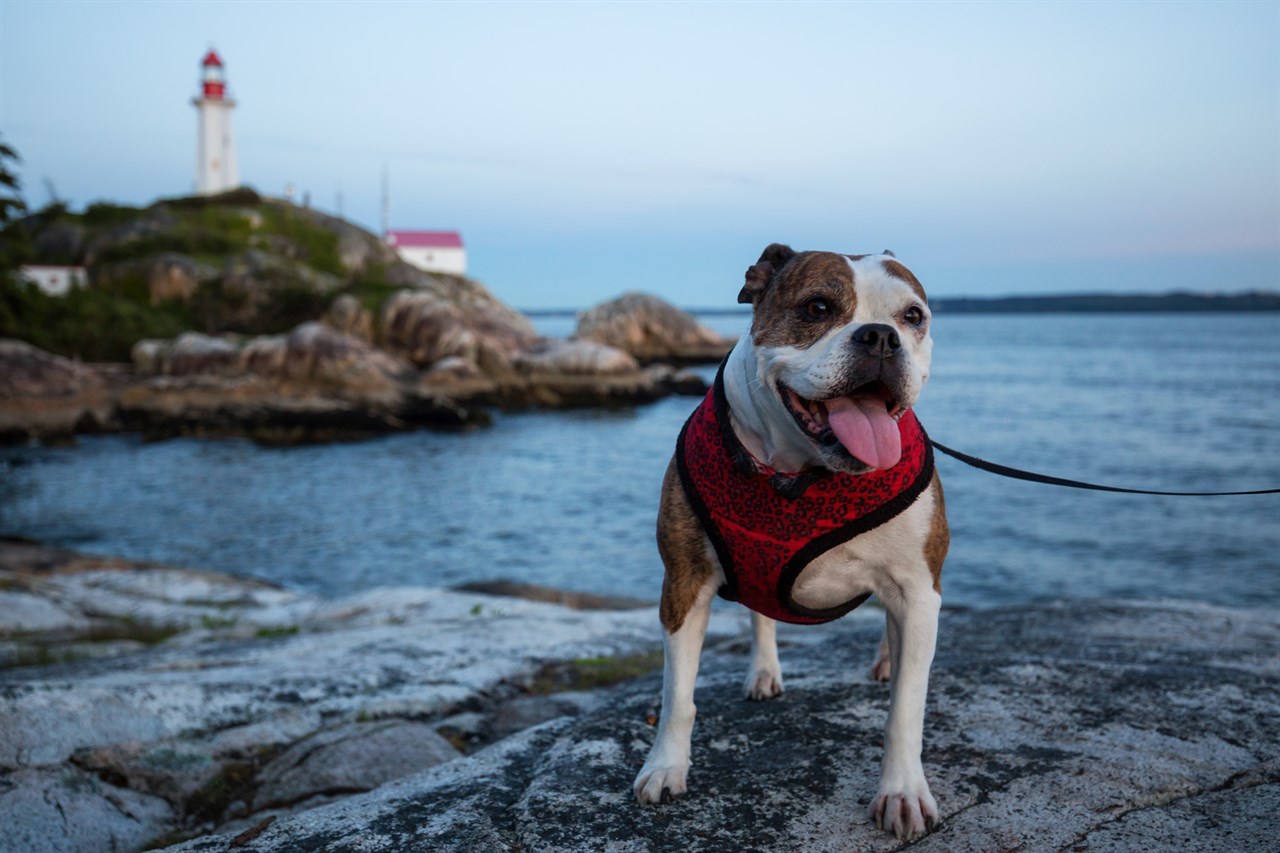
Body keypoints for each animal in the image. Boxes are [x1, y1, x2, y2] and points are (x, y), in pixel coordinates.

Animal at [632, 240, 952, 835]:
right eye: (818, 308)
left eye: (913, 316)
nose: (880, 336)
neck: (802, 474)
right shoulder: (684, 581)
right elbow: (678, 693)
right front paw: (665, 767)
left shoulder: (918, 587)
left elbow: (906, 707)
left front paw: (901, 792)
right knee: (762, 614)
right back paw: (765, 670)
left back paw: (887, 661)